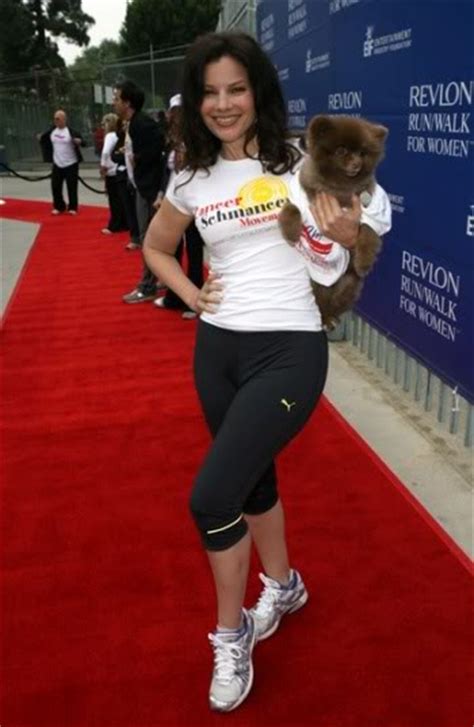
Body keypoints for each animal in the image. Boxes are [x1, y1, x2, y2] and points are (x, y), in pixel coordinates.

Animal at [280, 115, 386, 328]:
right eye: (341, 150)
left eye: (362, 153)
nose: (356, 164)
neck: (339, 191)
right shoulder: (300, 198)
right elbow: (291, 208)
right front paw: (291, 233)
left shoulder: (373, 214)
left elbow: (367, 230)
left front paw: (364, 262)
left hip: (349, 284)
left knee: (332, 304)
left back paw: (328, 317)